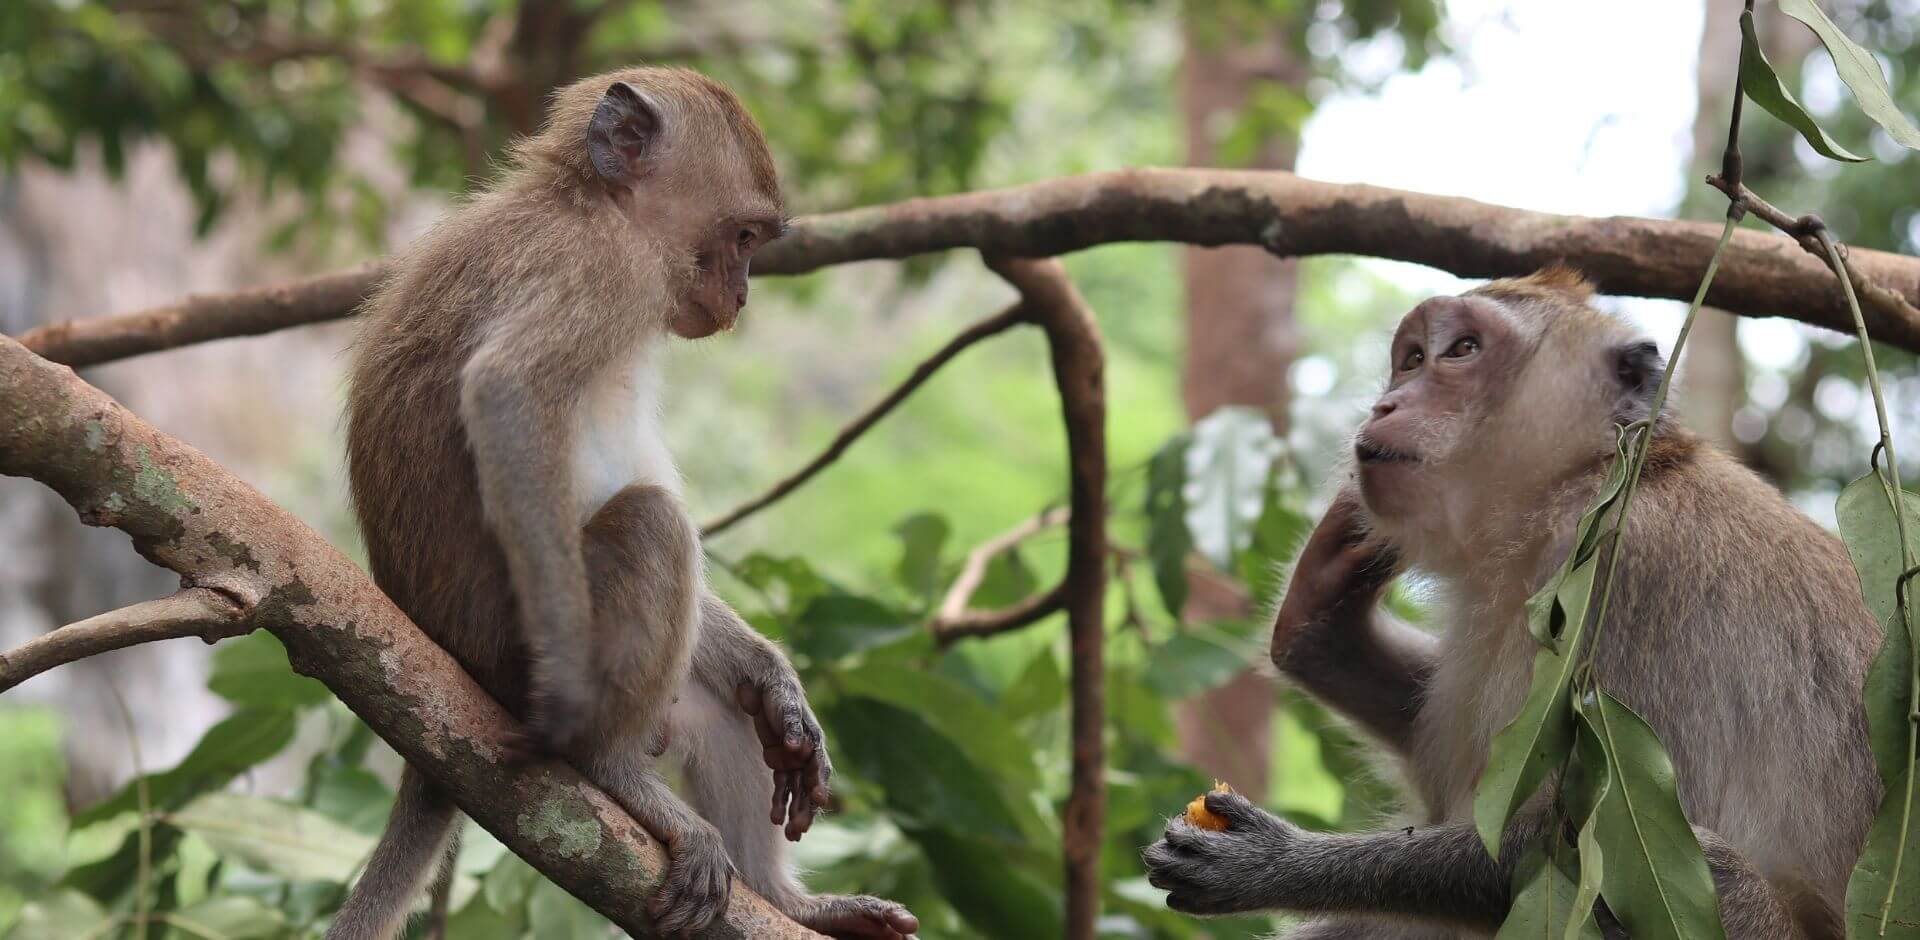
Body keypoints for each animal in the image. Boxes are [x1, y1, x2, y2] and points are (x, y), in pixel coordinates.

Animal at [332, 68, 921, 940]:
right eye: (744, 236)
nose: (741, 295)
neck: (591, 202)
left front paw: (777, 681)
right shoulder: (601, 270)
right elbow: (506, 394)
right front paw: (571, 704)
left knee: (721, 705)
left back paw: (788, 899)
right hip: (503, 649)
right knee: (652, 526)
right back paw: (605, 765)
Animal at [1144, 266, 1881, 940]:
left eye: (1463, 350)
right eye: (1411, 358)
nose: (1386, 406)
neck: (1588, 478)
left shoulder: (1623, 570)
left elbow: (1561, 840)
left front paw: (1269, 863)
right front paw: (1319, 607)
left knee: (1704, 873)